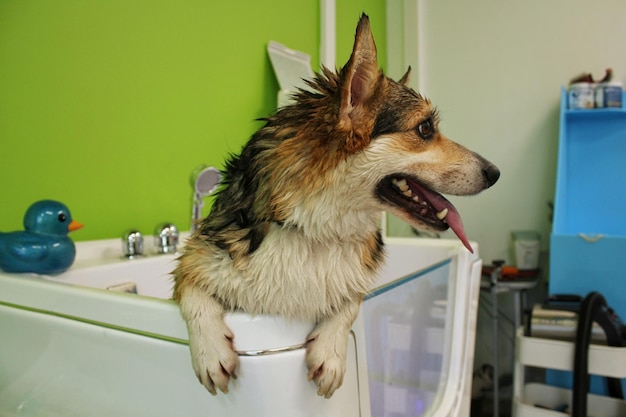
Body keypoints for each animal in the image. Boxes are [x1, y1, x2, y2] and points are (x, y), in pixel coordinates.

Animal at [173, 13, 500, 396]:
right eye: (424, 129)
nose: (495, 173)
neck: (317, 229)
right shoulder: (195, 257)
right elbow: (192, 292)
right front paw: (211, 352)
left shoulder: (356, 281)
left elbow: (350, 301)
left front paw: (330, 352)